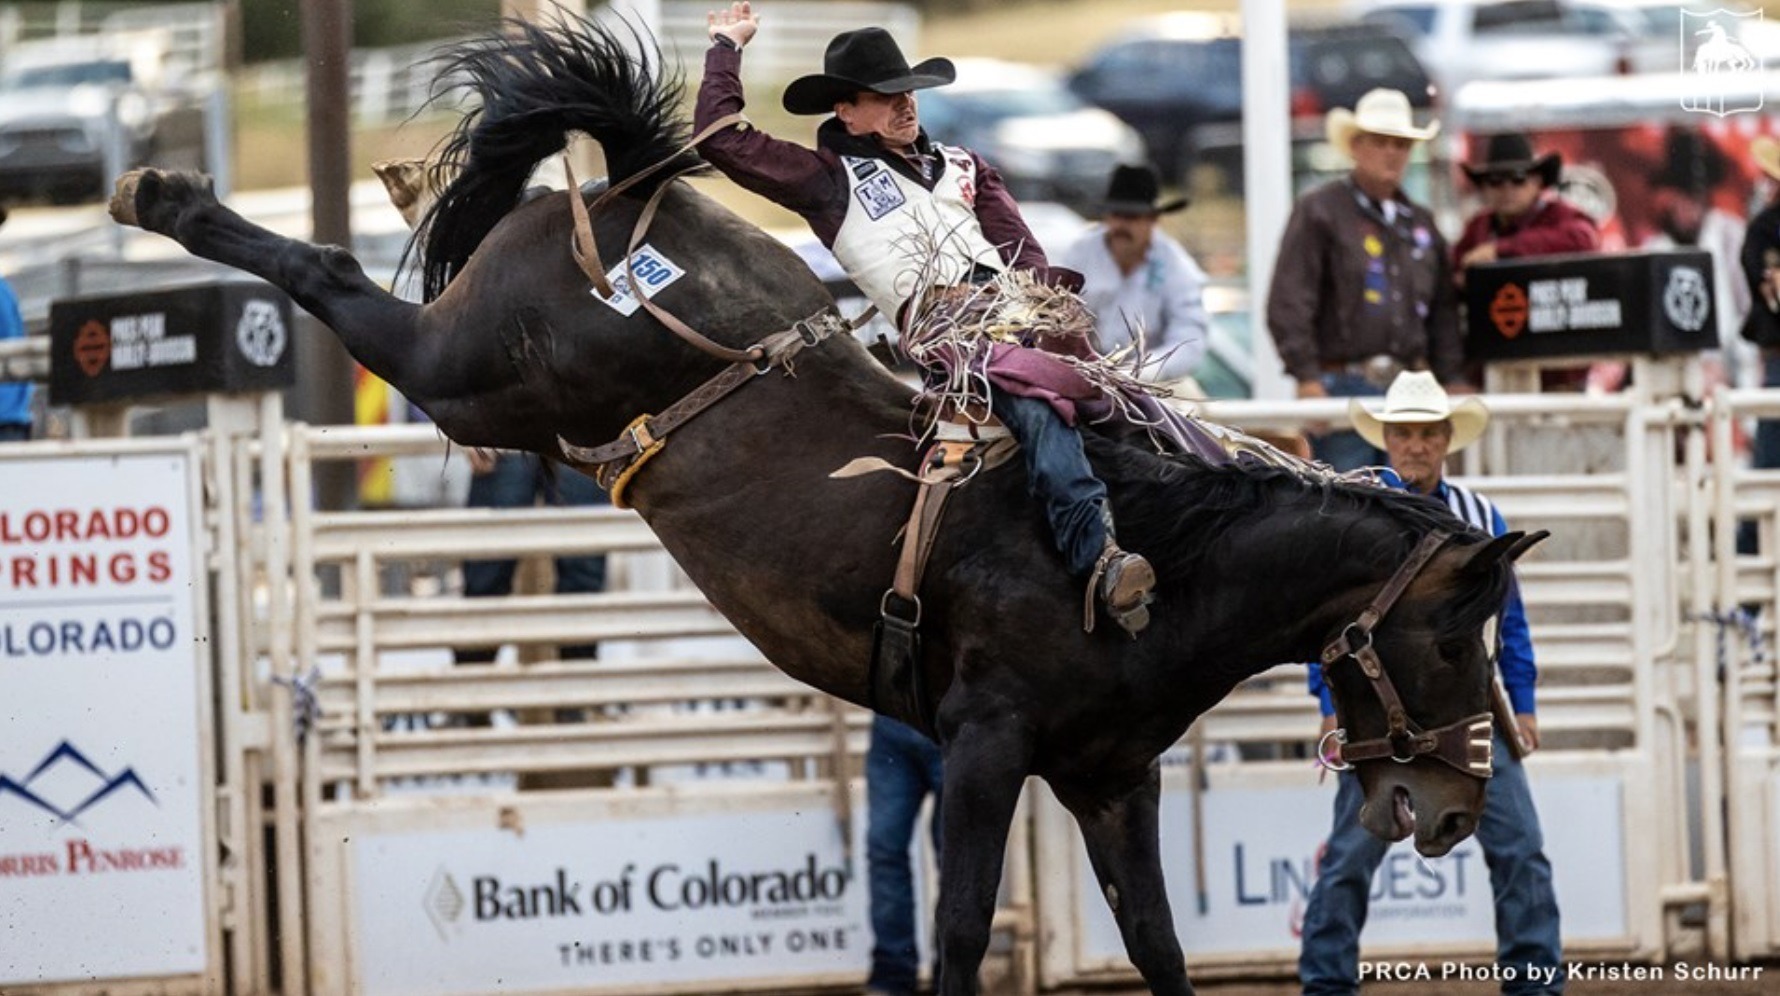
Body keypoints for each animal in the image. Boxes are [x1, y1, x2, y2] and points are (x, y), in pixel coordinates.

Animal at [107, 17, 1545, 996]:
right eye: (1444, 636)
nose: (1453, 815)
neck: (1166, 561)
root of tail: (631, 194)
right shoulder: (983, 745)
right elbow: (956, 931)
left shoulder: (1110, 776)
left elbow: (1157, 942)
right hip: (462, 367)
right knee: (335, 276)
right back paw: (160, 195)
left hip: (499, 397)